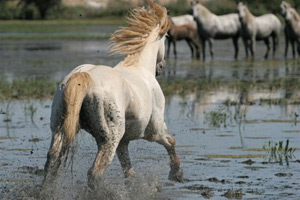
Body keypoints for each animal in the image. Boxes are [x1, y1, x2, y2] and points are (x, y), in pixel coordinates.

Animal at [42, 0, 183, 191]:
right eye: (166, 37)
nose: (160, 67)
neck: (140, 68)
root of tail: (86, 77)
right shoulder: (154, 131)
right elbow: (171, 141)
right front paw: (176, 174)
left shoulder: (123, 142)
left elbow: (129, 171)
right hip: (110, 139)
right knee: (94, 172)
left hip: (60, 130)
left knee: (52, 161)